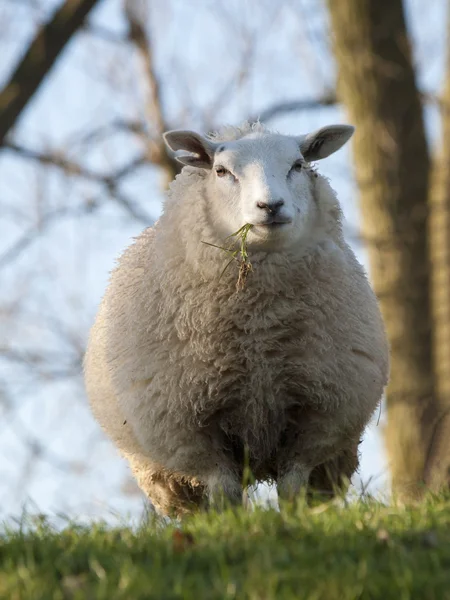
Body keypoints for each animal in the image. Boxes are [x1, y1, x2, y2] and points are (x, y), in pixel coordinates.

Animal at [84, 120, 390, 516]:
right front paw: (232, 526)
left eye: (298, 165)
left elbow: (291, 489)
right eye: (221, 171)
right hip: (163, 471)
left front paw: (293, 523)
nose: (270, 206)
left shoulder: (315, 419)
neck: (258, 329)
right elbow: (225, 496)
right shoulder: (193, 432)